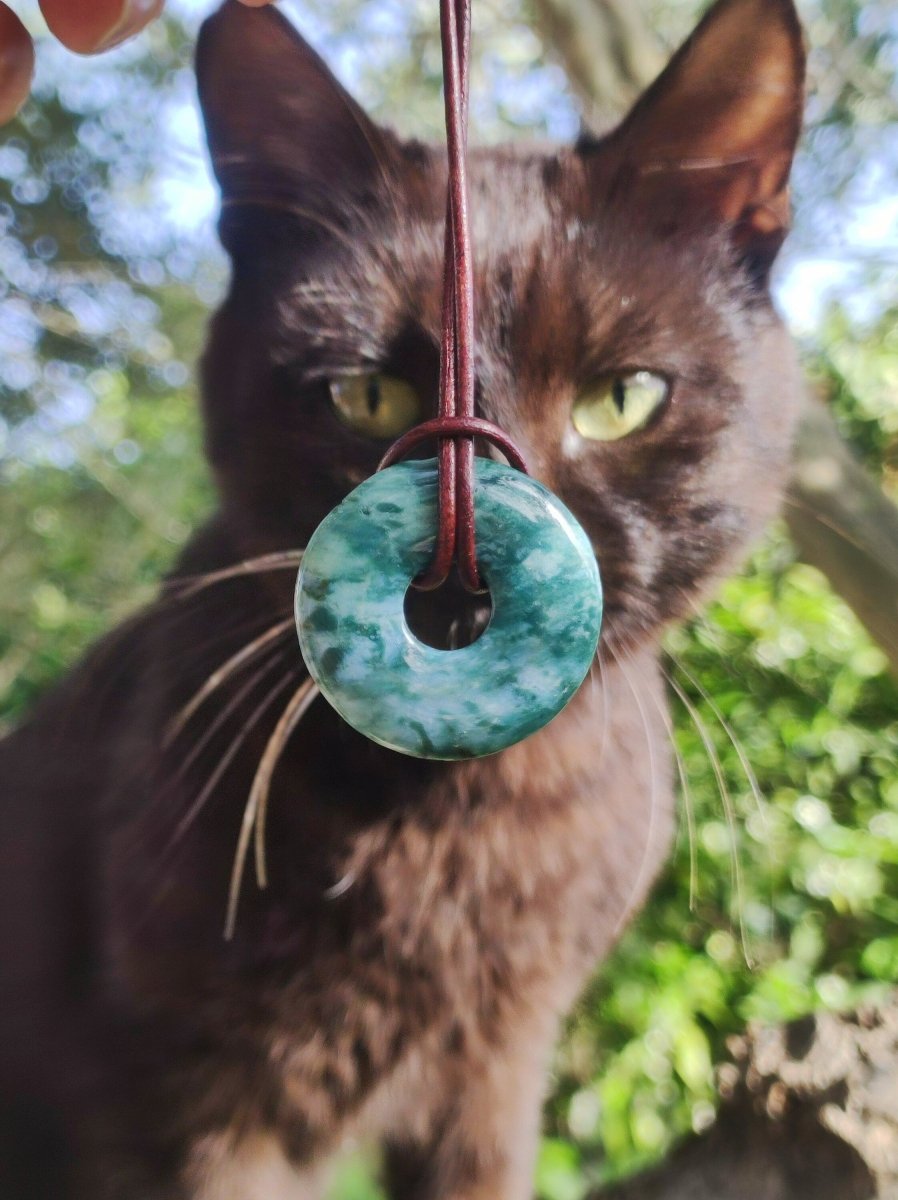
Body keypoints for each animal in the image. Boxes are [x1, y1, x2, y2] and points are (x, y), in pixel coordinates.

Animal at [0, 0, 806, 1195]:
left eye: (621, 398)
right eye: (365, 395)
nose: (470, 577)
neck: (454, 830)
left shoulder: (496, 1068)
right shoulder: (172, 1094)